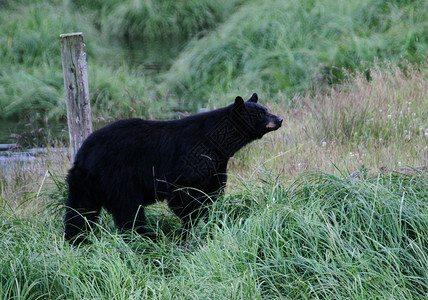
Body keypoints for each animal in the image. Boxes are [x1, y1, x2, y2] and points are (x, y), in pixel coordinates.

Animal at [64, 94, 280, 244]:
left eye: (266, 108)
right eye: (261, 113)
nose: (279, 119)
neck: (218, 142)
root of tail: (83, 155)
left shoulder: (216, 165)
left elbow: (212, 192)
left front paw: (211, 220)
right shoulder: (190, 158)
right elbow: (184, 193)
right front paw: (188, 228)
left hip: (84, 184)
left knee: (79, 211)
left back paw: (76, 239)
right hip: (117, 176)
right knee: (128, 211)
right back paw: (146, 238)